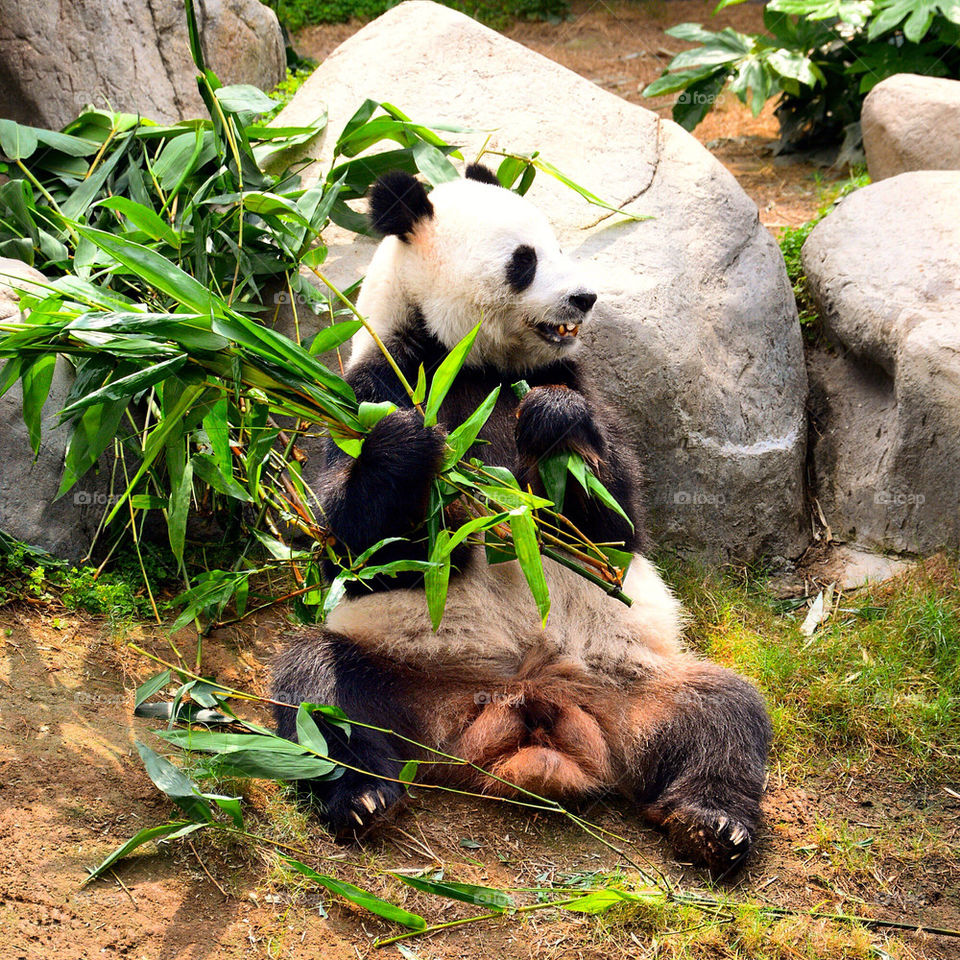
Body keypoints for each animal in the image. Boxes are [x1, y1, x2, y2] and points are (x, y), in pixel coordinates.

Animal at [271, 163, 772, 874]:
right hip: (403, 674)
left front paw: (553, 423)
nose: (585, 298)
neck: (472, 361)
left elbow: (618, 527)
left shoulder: (575, 379)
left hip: (638, 685)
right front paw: (413, 445)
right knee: (321, 693)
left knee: (723, 713)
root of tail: (531, 709)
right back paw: (364, 797)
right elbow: (354, 541)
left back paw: (711, 823)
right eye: (524, 260)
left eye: (560, 245)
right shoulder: (371, 383)